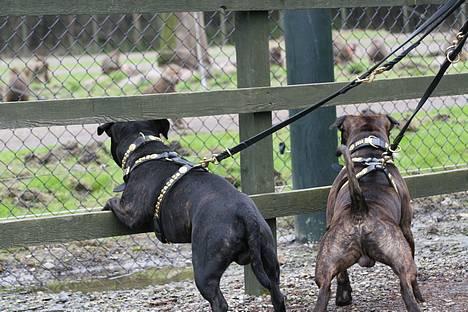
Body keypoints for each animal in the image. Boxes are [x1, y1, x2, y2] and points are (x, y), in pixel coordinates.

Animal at [98, 119, 286, 312]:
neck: (146, 149)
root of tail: (246, 215)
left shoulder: (131, 213)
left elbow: (113, 201)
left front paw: (106, 204)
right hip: (269, 259)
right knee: (277, 294)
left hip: (205, 270)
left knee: (219, 302)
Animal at [314, 112, 424, 312]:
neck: (369, 153)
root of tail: (360, 207)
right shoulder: (406, 228)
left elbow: (342, 274)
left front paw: (344, 295)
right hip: (403, 260)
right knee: (407, 286)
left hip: (325, 268)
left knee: (325, 288)